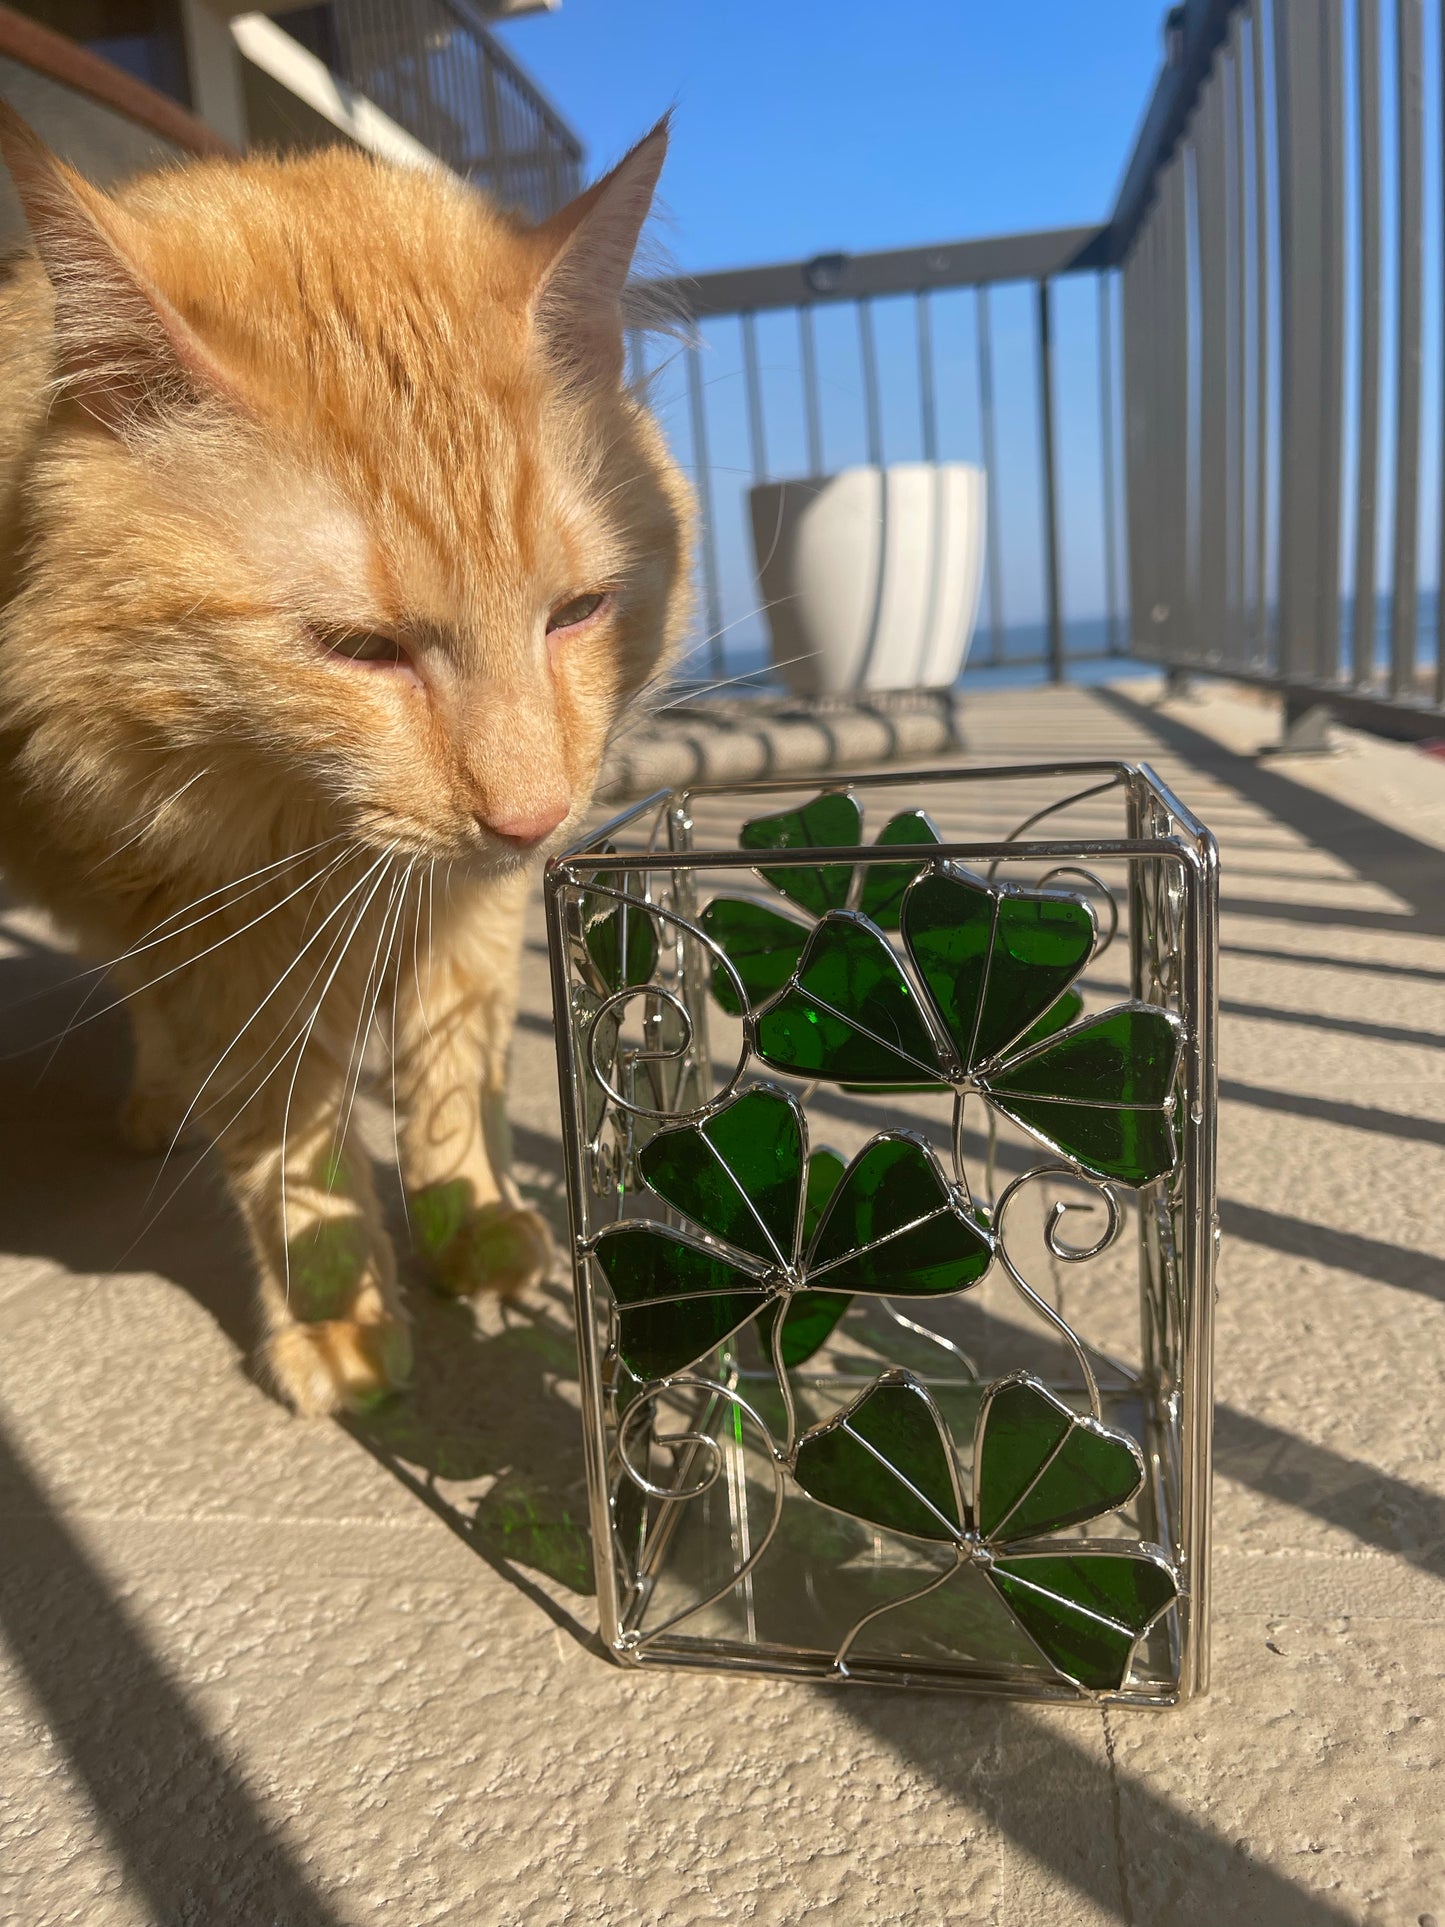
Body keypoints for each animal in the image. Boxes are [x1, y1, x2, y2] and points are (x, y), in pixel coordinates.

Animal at [0, 105, 697, 1410]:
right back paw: (159, 1105)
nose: (533, 817)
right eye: (359, 649)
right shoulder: (210, 927)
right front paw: (337, 1313)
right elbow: (288, 1142)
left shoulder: (473, 911)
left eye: (577, 613)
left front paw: (473, 1222)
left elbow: (449, 1077)